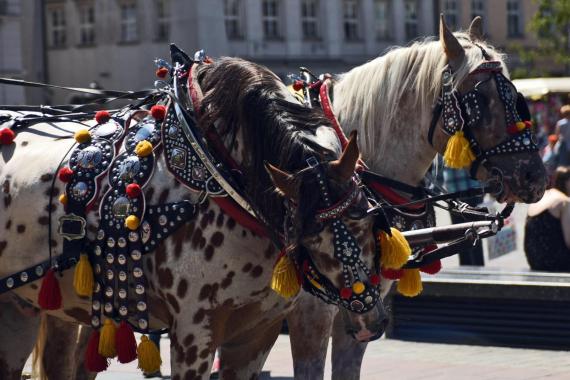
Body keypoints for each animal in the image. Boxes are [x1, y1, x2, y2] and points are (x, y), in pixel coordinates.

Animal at [0, 43, 390, 378]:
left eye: (369, 216)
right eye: (307, 238)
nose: (370, 321)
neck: (218, 166)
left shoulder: (257, 333)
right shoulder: (194, 332)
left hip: (24, 308)